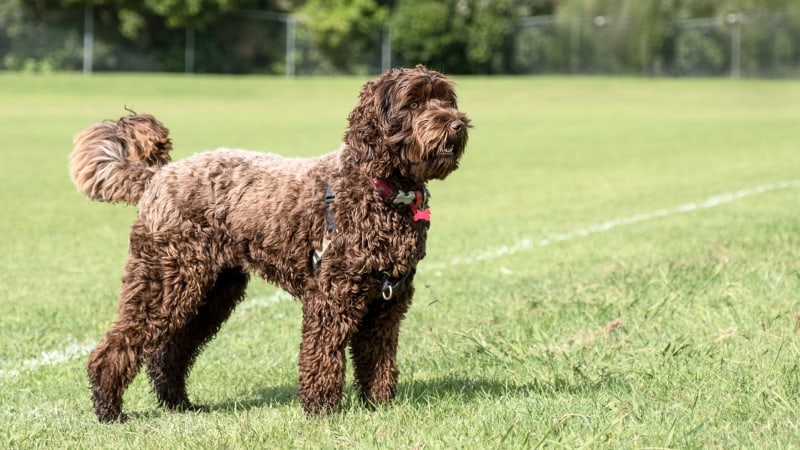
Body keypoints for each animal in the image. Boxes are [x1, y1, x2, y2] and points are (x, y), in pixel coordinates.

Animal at [70, 65, 468, 424]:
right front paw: (322, 409)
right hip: (164, 282)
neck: (379, 190)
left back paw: (178, 403)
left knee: (170, 353)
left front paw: (379, 405)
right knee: (117, 347)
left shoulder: (388, 303)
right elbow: (323, 354)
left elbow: (378, 357)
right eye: (413, 103)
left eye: (446, 99)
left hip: (212, 292)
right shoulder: (331, 297)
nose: (457, 124)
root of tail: (158, 175)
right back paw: (109, 410)